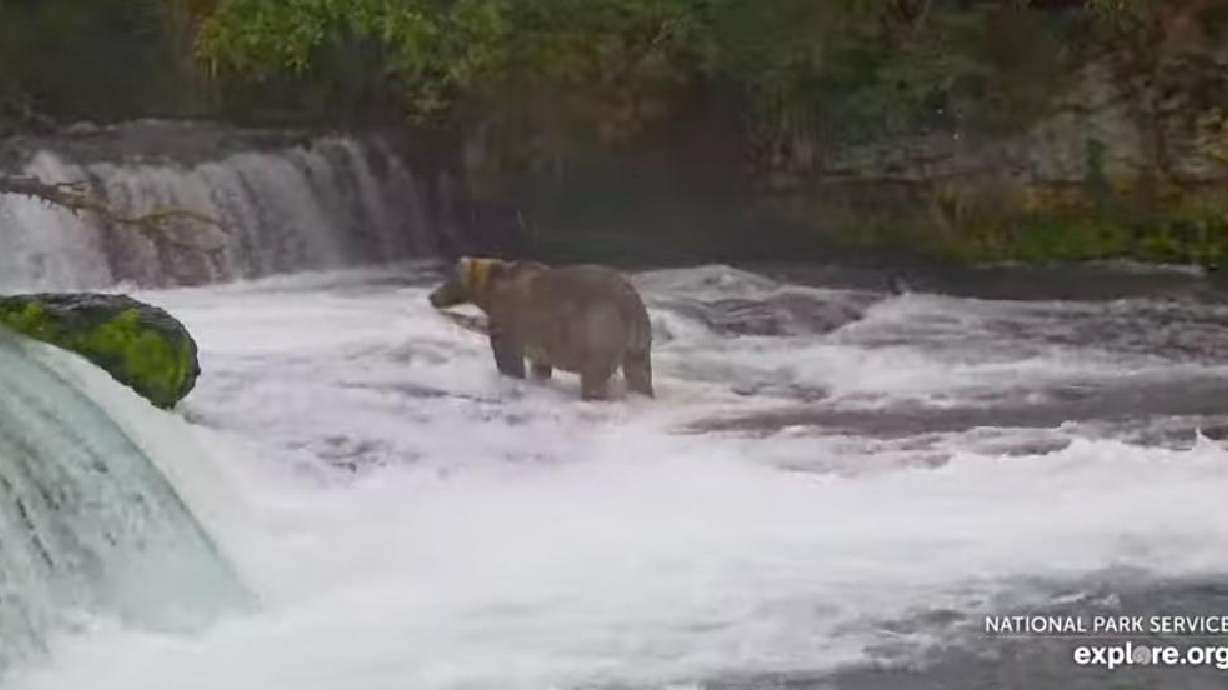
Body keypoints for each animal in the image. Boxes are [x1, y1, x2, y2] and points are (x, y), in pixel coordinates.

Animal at [429, 257, 654, 400]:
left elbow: (507, 355)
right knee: (639, 373)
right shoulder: (541, 337)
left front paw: (511, 375)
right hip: (639, 342)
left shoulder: (510, 317)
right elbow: (540, 364)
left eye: (451, 277)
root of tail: (631, 302)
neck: (491, 291)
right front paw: (539, 377)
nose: (432, 296)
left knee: (595, 375)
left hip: (599, 327)